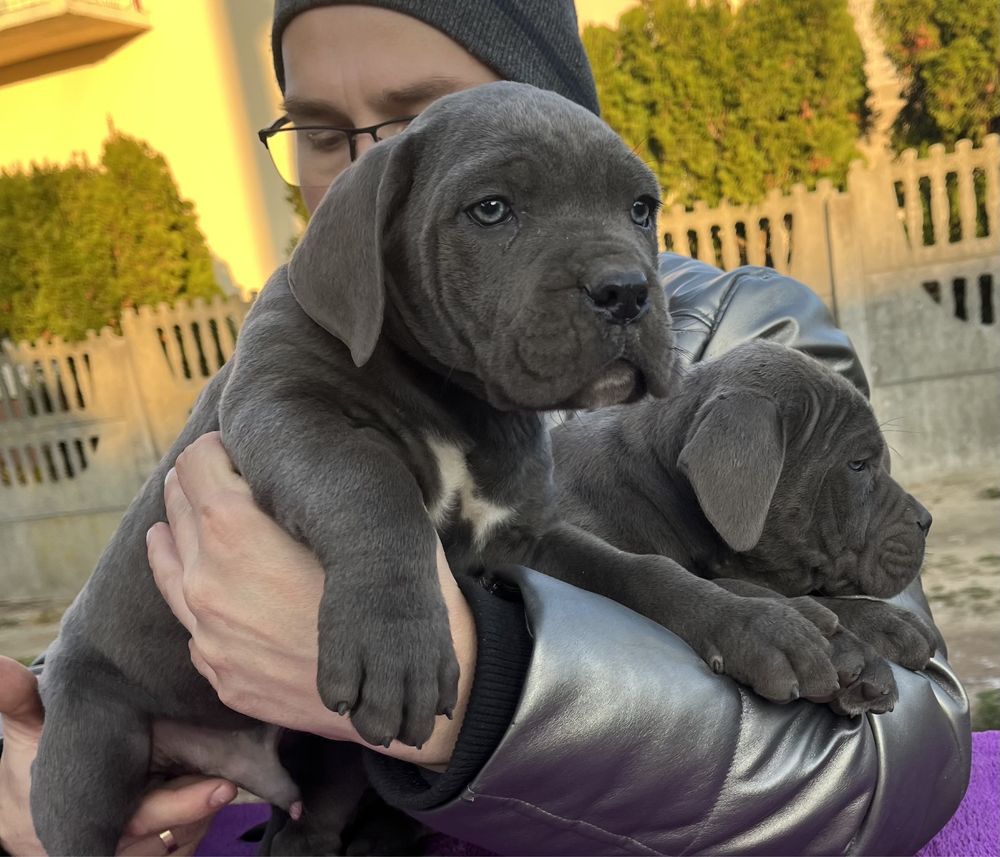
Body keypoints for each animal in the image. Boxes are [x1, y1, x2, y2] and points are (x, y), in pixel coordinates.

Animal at [33, 82, 844, 856]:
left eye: (641, 208)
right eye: (491, 209)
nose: (627, 291)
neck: (461, 402)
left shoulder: (526, 537)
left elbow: (640, 572)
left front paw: (756, 622)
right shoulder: (284, 408)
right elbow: (371, 483)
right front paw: (396, 642)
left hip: (332, 768)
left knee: (309, 831)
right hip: (90, 748)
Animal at [556, 342, 936, 716]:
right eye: (858, 464)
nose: (927, 521)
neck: (653, 485)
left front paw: (886, 621)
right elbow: (647, 571)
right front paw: (779, 633)